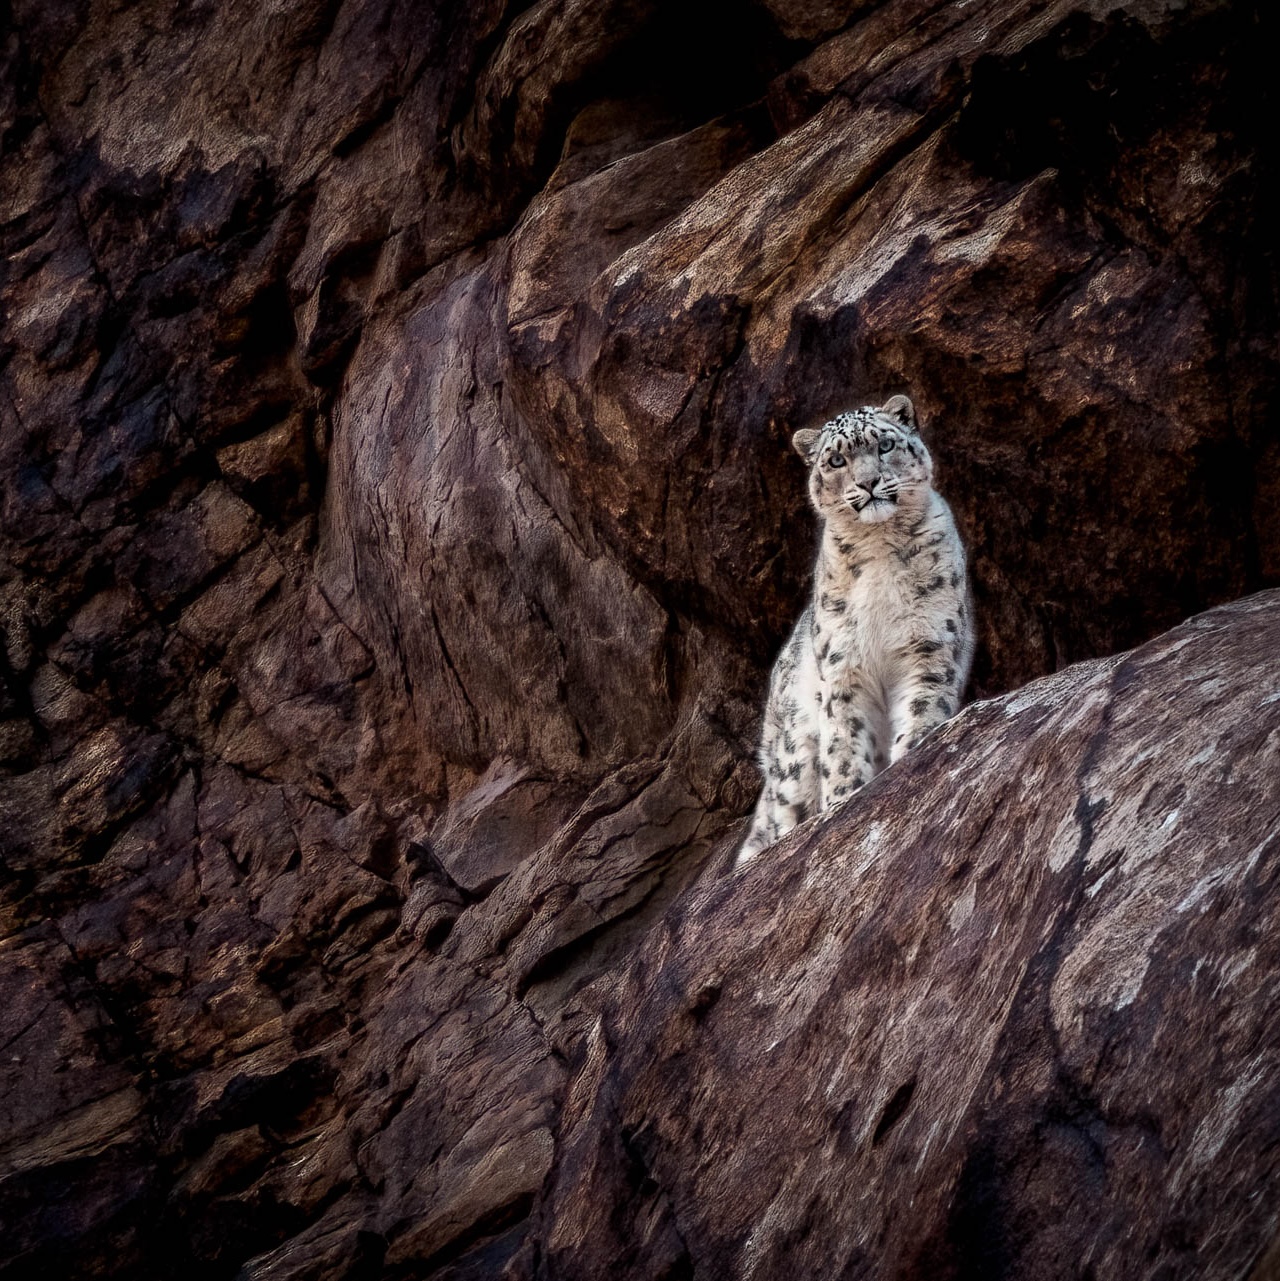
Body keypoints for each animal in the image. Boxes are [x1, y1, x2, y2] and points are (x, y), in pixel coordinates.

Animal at [738, 394, 973, 865]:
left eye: (885, 445)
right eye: (836, 460)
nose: (868, 483)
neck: (880, 545)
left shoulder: (931, 643)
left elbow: (924, 704)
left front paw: (913, 750)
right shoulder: (843, 665)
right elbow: (844, 740)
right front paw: (844, 796)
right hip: (792, 755)